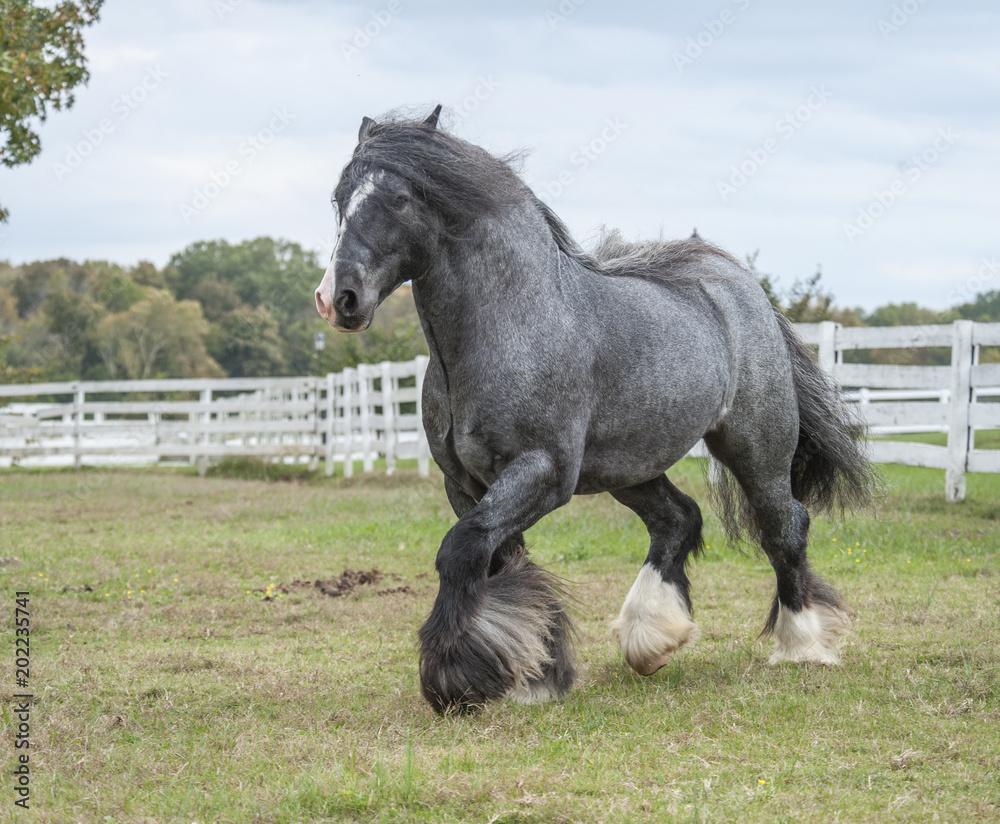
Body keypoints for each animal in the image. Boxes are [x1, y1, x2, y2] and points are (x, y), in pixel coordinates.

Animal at [314, 105, 875, 714]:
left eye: (399, 199)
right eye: (339, 198)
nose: (338, 299)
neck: (511, 324)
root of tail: (742, 287)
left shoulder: (543, 470)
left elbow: (461, 551)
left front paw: (457, 679)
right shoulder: (466, 482)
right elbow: (499, 559)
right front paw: (537, 674)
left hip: (756, 450)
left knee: (783, 527)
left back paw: (801, 645)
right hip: (629, 467)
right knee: (678, 519)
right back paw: (652, 638)